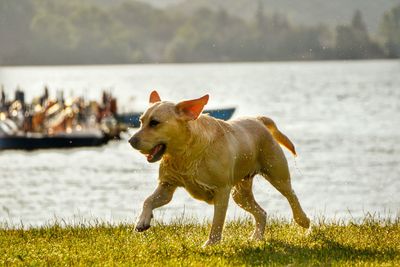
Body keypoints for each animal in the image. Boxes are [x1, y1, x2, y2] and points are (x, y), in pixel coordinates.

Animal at [128, 91, 310, 247]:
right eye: (141, 121)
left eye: (154, 123)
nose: (131, 141)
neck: (185, 154)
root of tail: (258, 120)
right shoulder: (167, 185)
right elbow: (148, 200)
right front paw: (142, 221)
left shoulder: (222, 190)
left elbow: (217, 221)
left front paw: (210, 244)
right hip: (240, 194)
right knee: (262, 213)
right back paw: (256, 237)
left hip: (276, 173)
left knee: (291, 195)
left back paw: (303, 220)